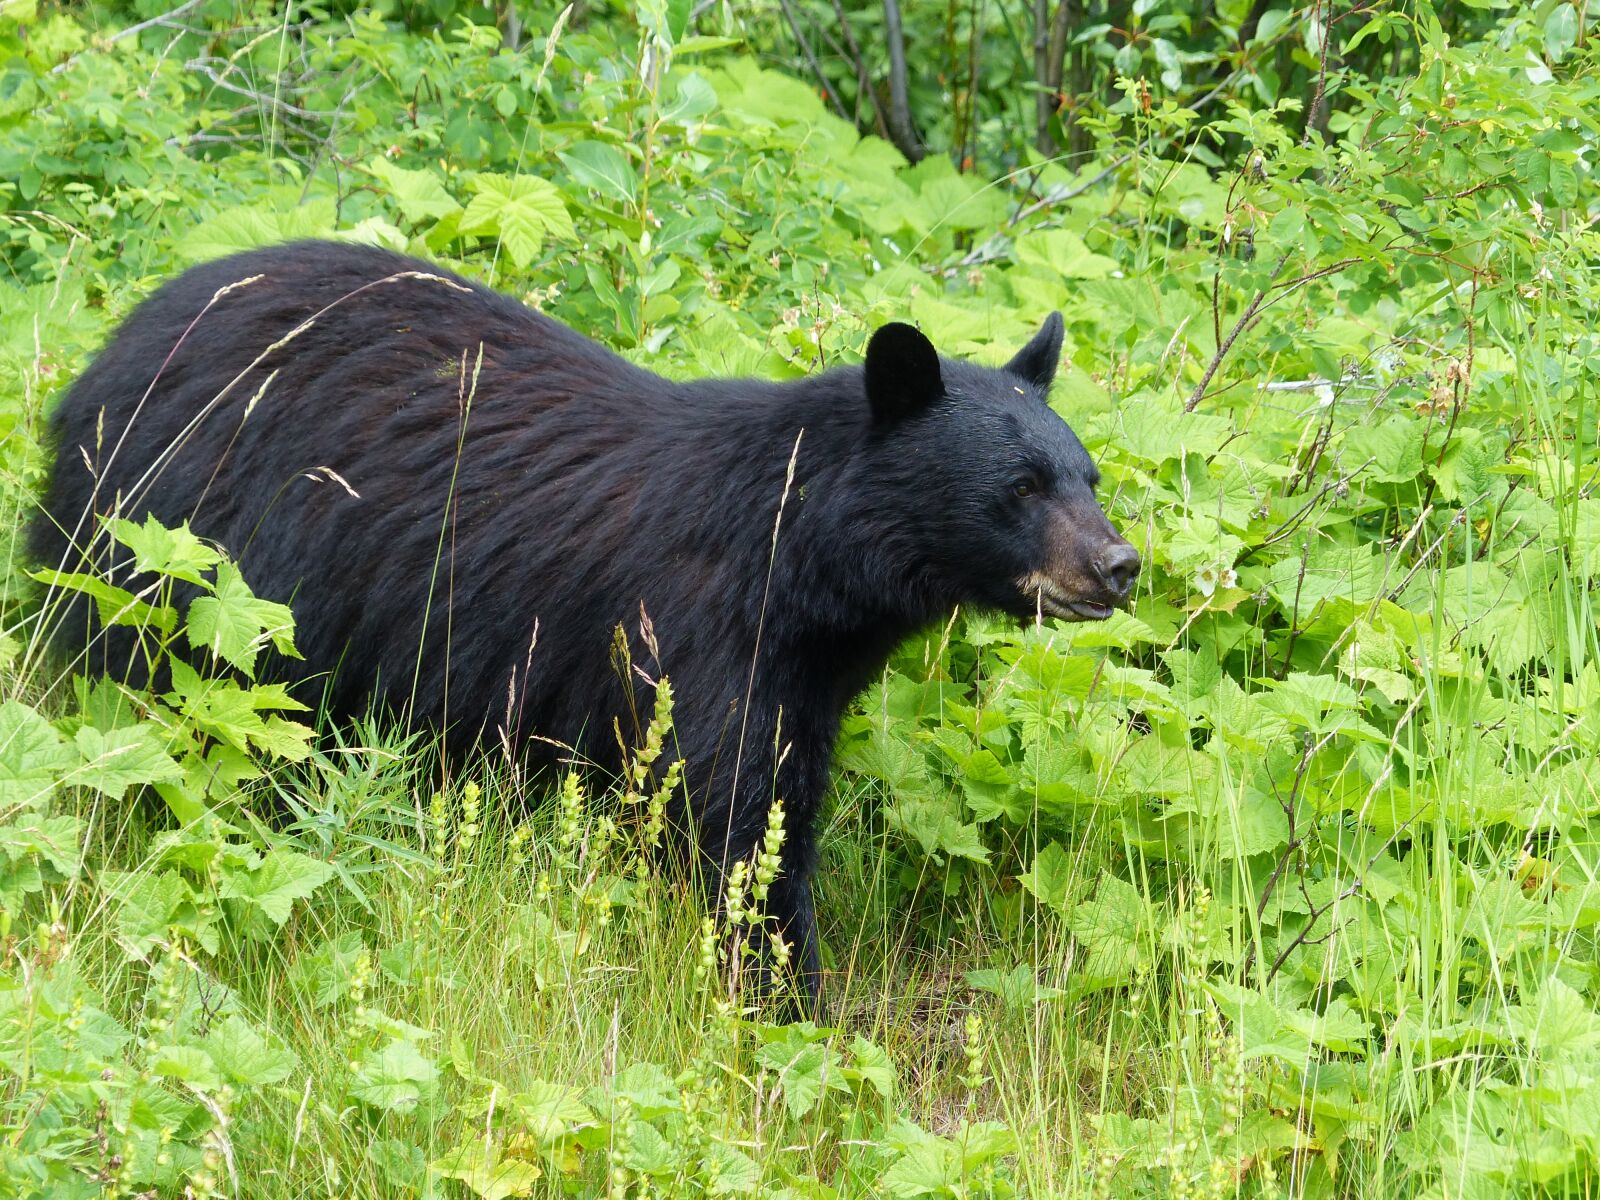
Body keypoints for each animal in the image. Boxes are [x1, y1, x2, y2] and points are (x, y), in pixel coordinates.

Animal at [33, 240, 1139, 1009]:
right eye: (1021, 486)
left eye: (1087, 475)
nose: (1120, 567)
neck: (798, 549)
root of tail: (100, 367)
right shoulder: (694, 628)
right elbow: (735, 810)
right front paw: (786, 992)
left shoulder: (805, 665)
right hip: (183, 558)